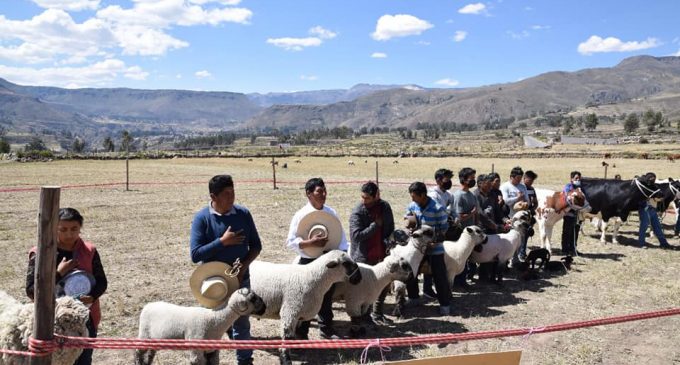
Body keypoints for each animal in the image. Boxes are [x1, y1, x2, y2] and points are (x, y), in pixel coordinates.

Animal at [135, 288, 266, 364]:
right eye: (253, 298)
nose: (265, 307)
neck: (213, 320)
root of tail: (148, 305)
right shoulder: (196, 349)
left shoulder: (212, 351)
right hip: (144, 333)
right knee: (138, 352)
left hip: (154, 338)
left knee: (150, 353)